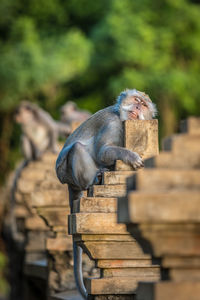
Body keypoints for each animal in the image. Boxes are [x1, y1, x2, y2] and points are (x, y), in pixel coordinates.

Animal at [55, 88, 157, 298]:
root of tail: (71, 184)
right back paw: (94, 179)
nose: (137, 107)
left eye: (143, 104)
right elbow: (103, 151)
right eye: (136, 99)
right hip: (65, 172)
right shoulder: (113, 123)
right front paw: (130, 155)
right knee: (77, 149)